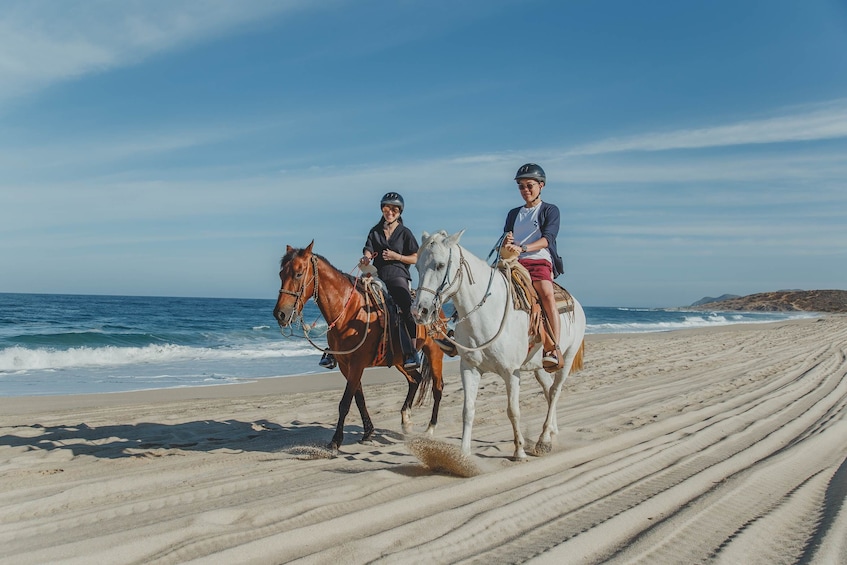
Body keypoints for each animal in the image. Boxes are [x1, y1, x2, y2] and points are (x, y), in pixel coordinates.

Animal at [274, 240, 448, 452]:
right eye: (281, 274)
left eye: (298, 274)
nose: (280, 314)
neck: (348, 310)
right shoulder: (345, 365)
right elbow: (359, 398)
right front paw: (368, 432)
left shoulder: (357, 363)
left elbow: (345, 402)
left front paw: (336, 440)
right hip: (400, 360)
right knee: (415, 379)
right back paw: (406, 420)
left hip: (434, 353)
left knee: (437, 388)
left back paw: (430, 428)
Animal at [412, 229, 588, 458]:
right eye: (417, 266)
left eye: (440, 265)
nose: (419, 312)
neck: (488, 312)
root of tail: (577, 303)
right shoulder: (469, 368)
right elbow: (468, 410)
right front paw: (464, 455)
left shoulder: (511, 372)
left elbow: (513, 411)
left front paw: (519, 452)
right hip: (538, 366)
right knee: (548, 390)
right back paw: (551, 433)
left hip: (566, 358)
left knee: (556, 391)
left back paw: (543, 441)